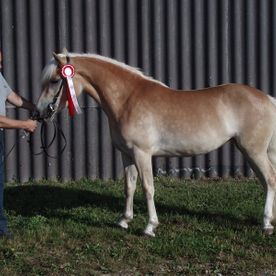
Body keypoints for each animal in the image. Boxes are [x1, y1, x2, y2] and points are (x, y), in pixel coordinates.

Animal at [35, 51, 276, 237]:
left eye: (55, 81)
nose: (39, 113)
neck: (127, 99)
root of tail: (268, 98)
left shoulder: (142, 154)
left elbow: (148, 188)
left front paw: (149, 227)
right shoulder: (127, 154)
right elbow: (129, 187)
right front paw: (124, 220)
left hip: (253, 151)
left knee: (270, 179)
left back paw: (266, 224)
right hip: (252, 151)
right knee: (267, 181)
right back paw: (270, 219)